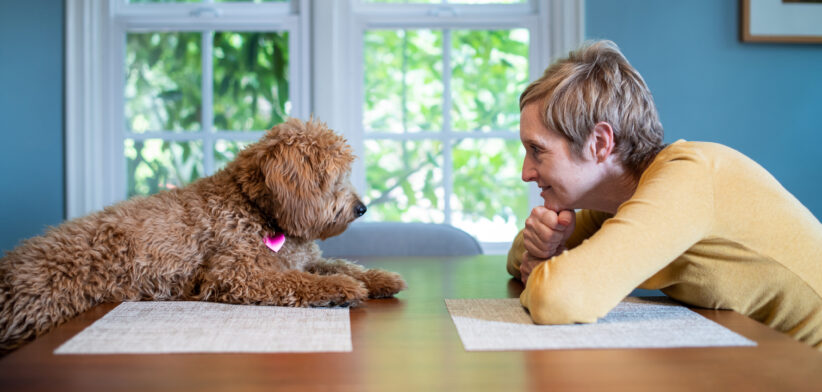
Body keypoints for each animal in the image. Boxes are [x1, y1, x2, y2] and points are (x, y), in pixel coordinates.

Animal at [0, 118, 408, 352]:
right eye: (334, 177)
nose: (362, 208)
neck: (257, 210)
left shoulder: (303, 260)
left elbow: (341, 264)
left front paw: (381, 278)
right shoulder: (237, 274)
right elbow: (300, 282)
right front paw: (343, 289)